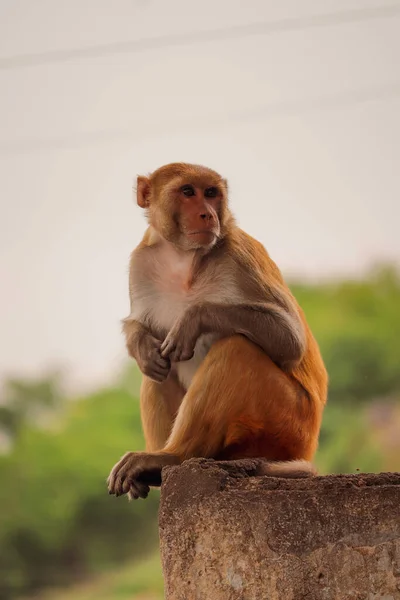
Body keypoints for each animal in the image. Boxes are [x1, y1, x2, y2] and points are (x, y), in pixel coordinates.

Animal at [107, 162, 328, 500]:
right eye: (188, 192)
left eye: (211, 193)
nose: (207, 214)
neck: (183, 257)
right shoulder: (141, 262)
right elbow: (141, 328)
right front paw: (140, 343)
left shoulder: (240, 255)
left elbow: (290, 340)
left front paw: (193, 318)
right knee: (157, 368)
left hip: (289, 424)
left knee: (235, 348)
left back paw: (172, 456)